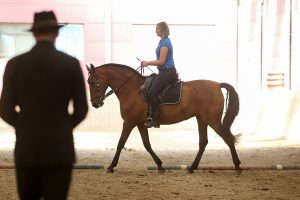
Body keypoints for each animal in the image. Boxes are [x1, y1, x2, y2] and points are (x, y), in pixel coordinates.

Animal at [86, 63, 241, 174]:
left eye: (92, 81)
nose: (95, 103)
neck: (132, 89)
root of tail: (217, 85)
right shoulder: (140, 124)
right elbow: (147, 145)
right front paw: (160, 165)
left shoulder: (129, 122)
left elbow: (120, 143)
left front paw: (111, 166)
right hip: (202, 119)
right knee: (203, 142)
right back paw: (191, 167)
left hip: (213, 121)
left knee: (228, 139)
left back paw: (238, 166)